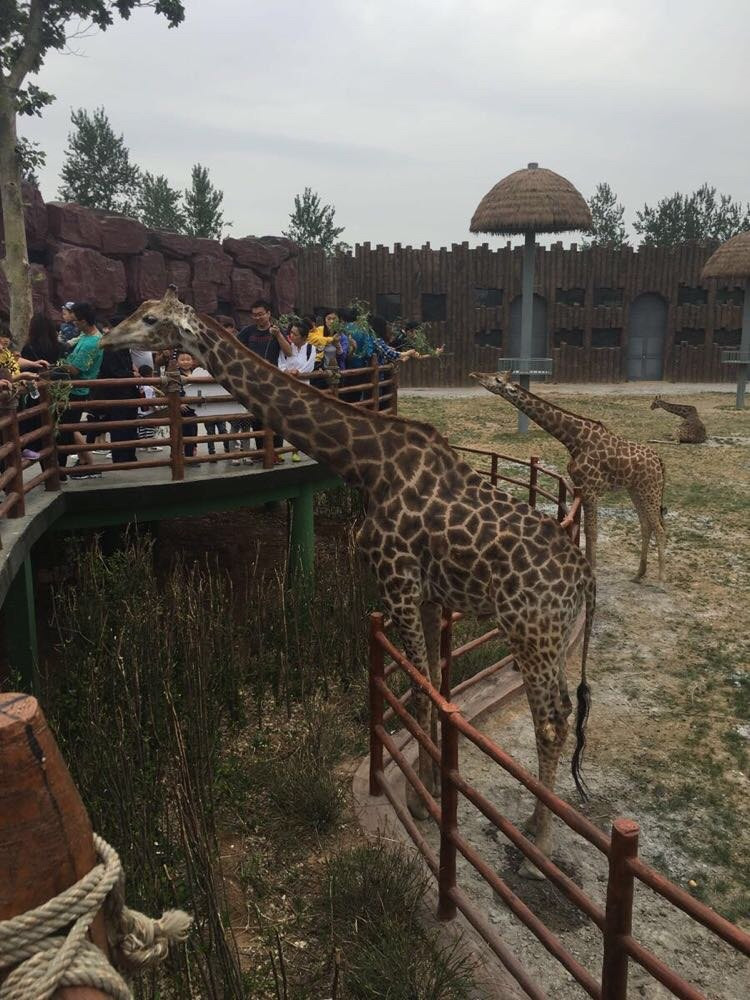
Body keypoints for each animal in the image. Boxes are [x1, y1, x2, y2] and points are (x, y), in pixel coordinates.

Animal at [103, 290, 600, 876]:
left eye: (150, 319)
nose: (105, 340)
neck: (365, 463)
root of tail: (585, 579)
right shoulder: (426, 594)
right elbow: (433, 683)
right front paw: (430, 790)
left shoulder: (395, 579)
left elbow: (418, 688)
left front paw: (420, 802)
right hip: (548, 636)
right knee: (561, 713)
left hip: (531, 631)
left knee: (552, 723)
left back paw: (537, 842)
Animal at [472, 372, 668, 584]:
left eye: (497, 380)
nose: (475, 375)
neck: (574, 440)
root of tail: (659, 461)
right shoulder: (581, 488)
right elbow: (585, 530)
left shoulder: (590, 489)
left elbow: (591, 532)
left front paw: (592, 570)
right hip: (636, 490)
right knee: (646, 525)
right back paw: (638, 574)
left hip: (650, 489)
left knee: (659, 528)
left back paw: (660, 578)